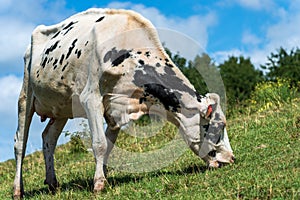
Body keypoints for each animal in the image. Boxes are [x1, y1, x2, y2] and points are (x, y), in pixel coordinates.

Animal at [13, 8, 234, 198]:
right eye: (217, 126)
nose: (231, 158)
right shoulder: (90, 97)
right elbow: (99, 143)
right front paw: (98, 184)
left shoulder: (117, 106)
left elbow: (109, 145)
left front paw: (102, 176)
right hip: (26, 96)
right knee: (20, 143)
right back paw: (17, 190)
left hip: (62, 106)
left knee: (48, 138)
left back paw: (52, 183)